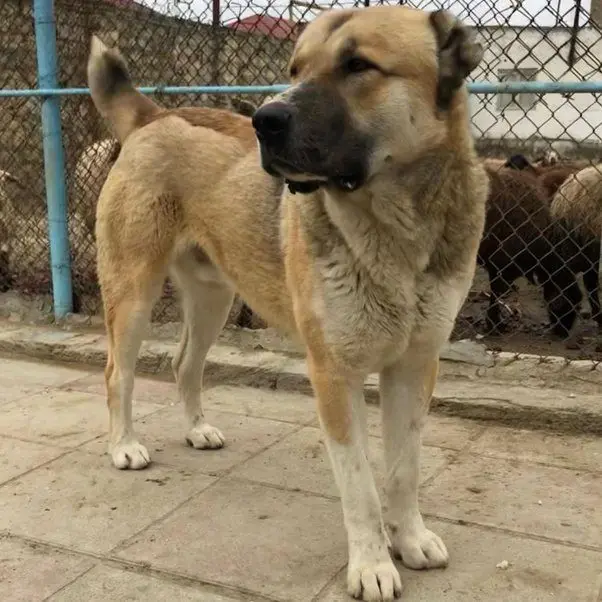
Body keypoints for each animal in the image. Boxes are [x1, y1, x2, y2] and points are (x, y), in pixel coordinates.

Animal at [86, 7, 486, 596]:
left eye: (358, 65)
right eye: (295, 68)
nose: (264, 120)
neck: (394, 228)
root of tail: (155, 116)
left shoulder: (416, 366)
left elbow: (403, 469)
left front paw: (410, 539)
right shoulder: (333, 375)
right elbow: (361, 486)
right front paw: (371, 565)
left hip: (213, 299)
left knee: (185, 364)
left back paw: (196, 429)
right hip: (134, 293)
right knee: (118, 372)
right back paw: (123, 446)